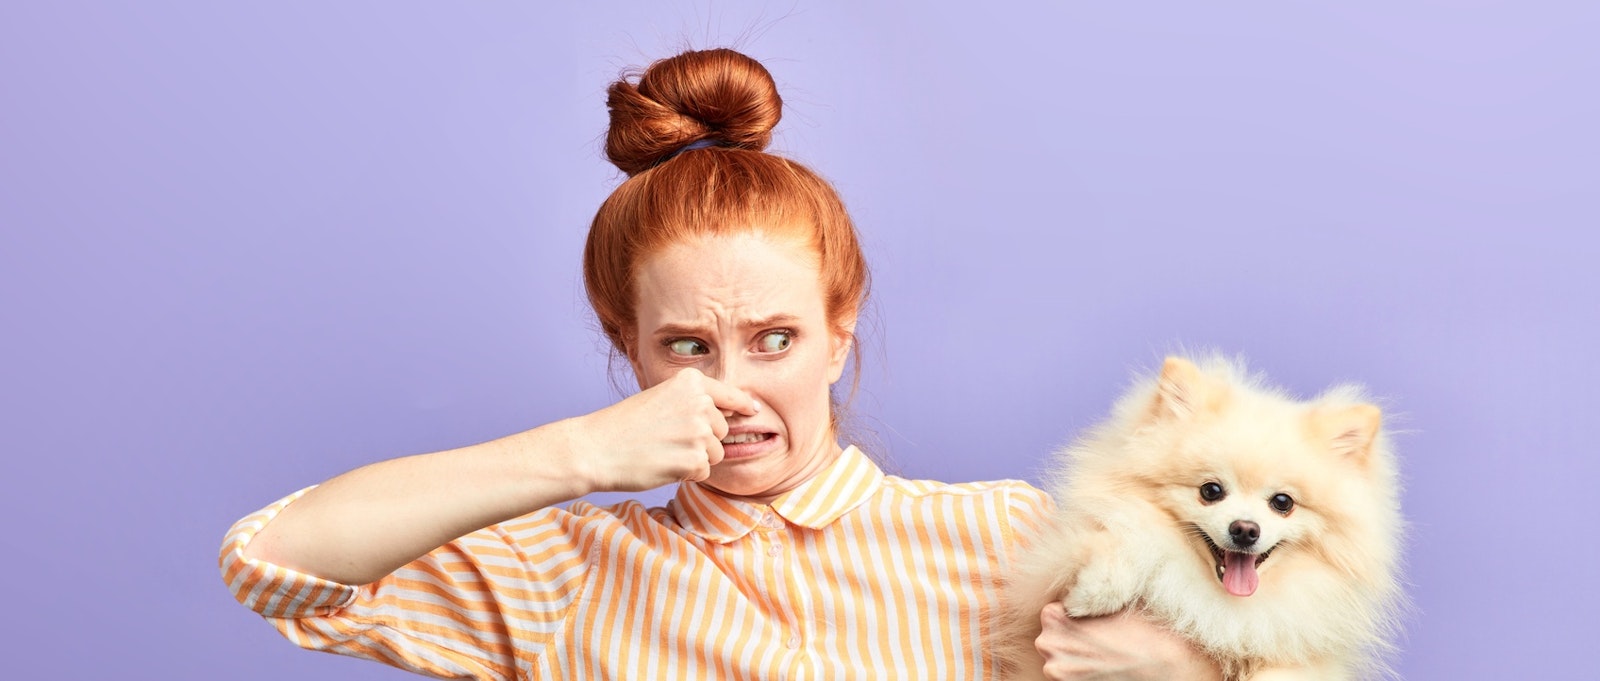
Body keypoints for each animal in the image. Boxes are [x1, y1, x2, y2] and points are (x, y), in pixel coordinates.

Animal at [992, 356, 1408, 681]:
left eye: (1282, 502)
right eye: (1211, 490)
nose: (1245, 529)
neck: (1217, 601)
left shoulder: (1305, 651)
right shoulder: (1044, 580)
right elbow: (1130, 537)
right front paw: (1098, 589)